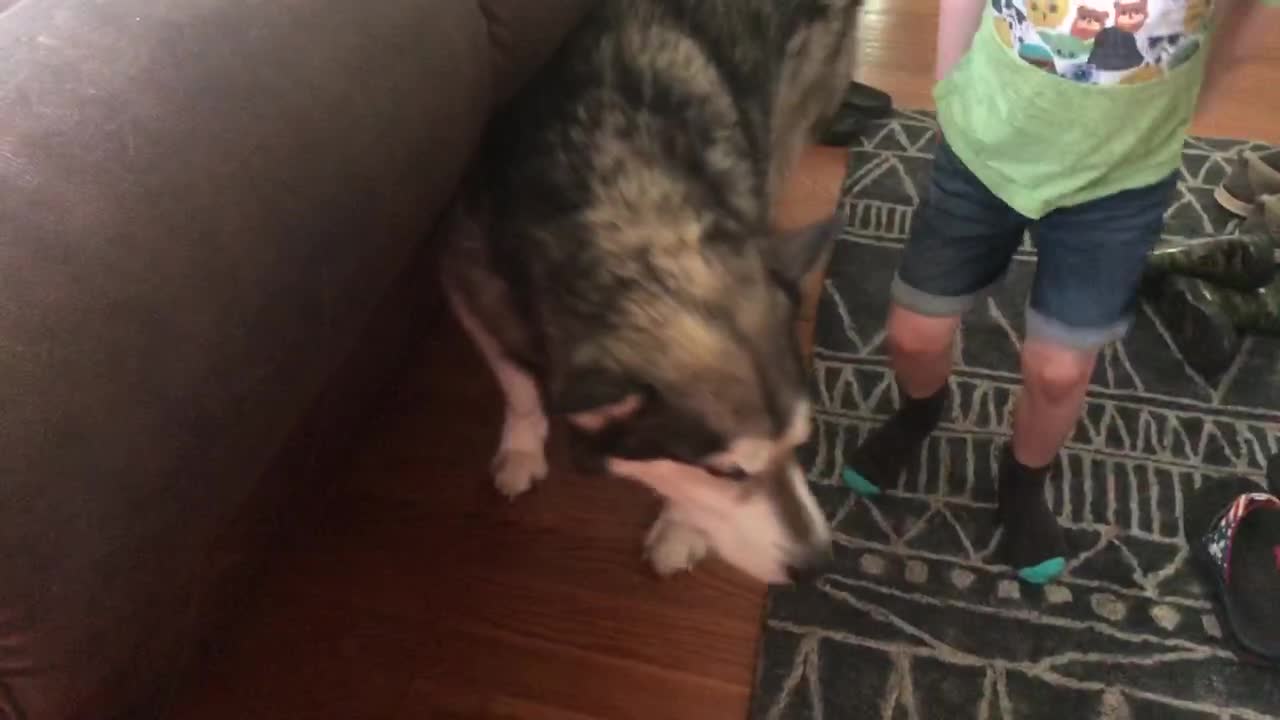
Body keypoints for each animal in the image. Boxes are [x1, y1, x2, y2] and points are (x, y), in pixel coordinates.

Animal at [440, 0, 860, 584]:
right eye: (728, 473)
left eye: (800, 445)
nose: (819, 565)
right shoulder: (469, 276)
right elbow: (517, 380)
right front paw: (523, 445)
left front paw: (682, 527)